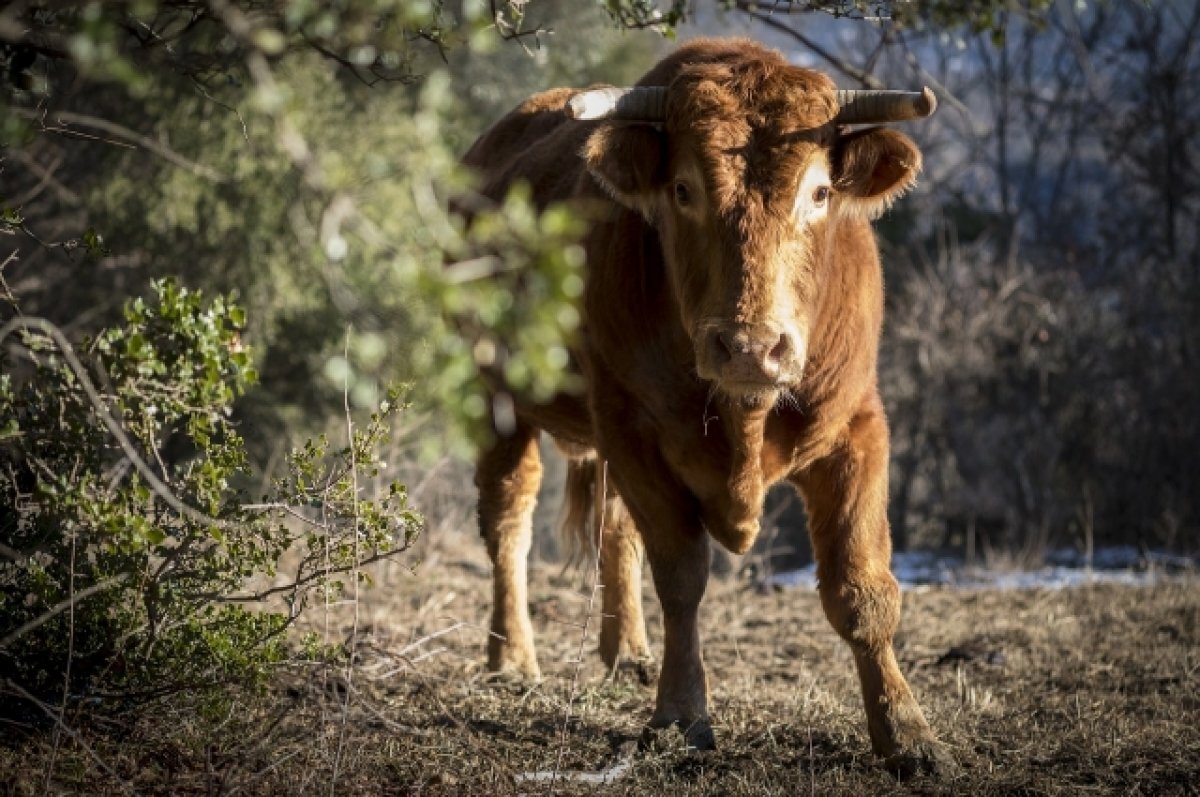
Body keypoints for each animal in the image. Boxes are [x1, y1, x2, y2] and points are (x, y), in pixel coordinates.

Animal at [463, 35, 950, 772]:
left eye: (819, 191)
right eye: (683, 190)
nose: (751, 346)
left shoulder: (857, 429)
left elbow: (860, 588)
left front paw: (907, 730)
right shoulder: (636, 434)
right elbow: (682, 578)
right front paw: (680, 715)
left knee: (613, 529)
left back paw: (628, 653)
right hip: (495, 395)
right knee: (509, 517)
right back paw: (513, 656)